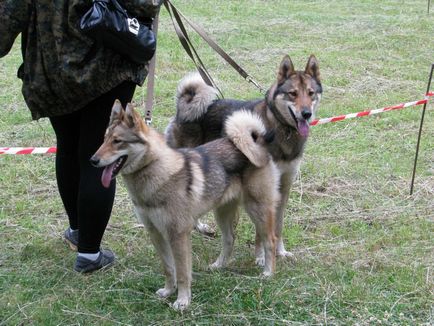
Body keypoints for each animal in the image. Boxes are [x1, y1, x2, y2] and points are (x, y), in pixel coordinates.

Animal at [90, 100, 280, 310]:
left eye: (117, 141)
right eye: (104, 139)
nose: (93, 160)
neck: (157, 172)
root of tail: (256, 142)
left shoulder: (178, 234)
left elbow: (182, 272)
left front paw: (182, 300)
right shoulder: (156, 233)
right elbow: (168, 268)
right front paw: (168, 291)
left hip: (258, 210)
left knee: (270, 240)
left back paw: (268, 272)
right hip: (222, 212)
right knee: (230, 239)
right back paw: (219, 265)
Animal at [166, 53, 322, 262]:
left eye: (311, 93)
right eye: (293, 93)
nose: (306, 114)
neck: (283, 130)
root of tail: (182, 108)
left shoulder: (284, 186)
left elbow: (279, 225)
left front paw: (281, 251)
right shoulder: (263, 188)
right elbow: (260, 231)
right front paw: (261, 257)